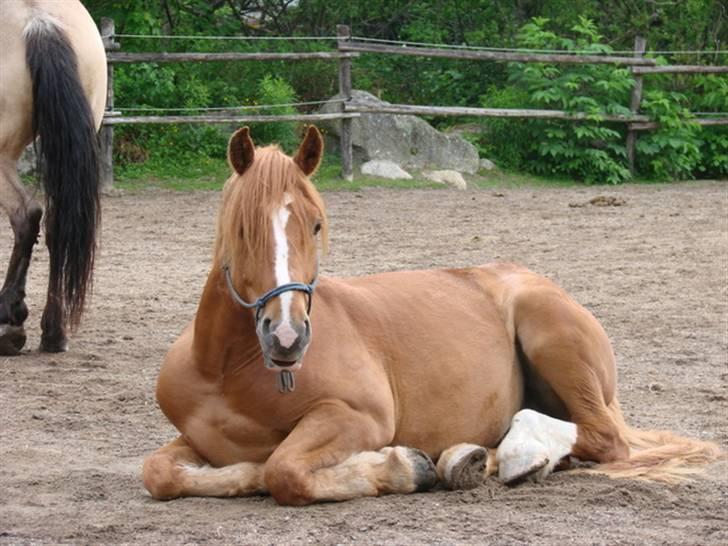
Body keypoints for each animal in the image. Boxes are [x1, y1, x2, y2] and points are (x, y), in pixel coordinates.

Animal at [141, 125, 716, 504]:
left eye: (317, 225)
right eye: (241, 229)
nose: (287, 337)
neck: (227, 371)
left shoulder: (360, 416)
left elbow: (282, 471)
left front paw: (398, 467)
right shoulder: (196, 439)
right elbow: (160, 472)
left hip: (553, 341)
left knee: (602, 437)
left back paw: (501, 456)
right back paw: (487, 459)